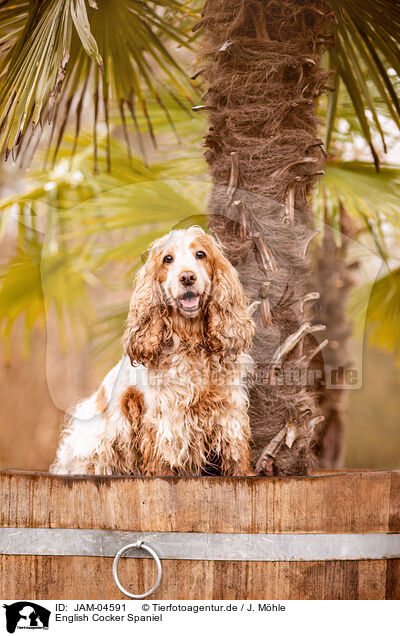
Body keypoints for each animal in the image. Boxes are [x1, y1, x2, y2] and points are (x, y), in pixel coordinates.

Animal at [50, 226, 255, 474]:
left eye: (201, 254)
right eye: (168, 259)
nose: (187, 277)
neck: (191, 342)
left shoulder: (229, 412)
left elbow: (238, 460)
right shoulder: (162, 422)